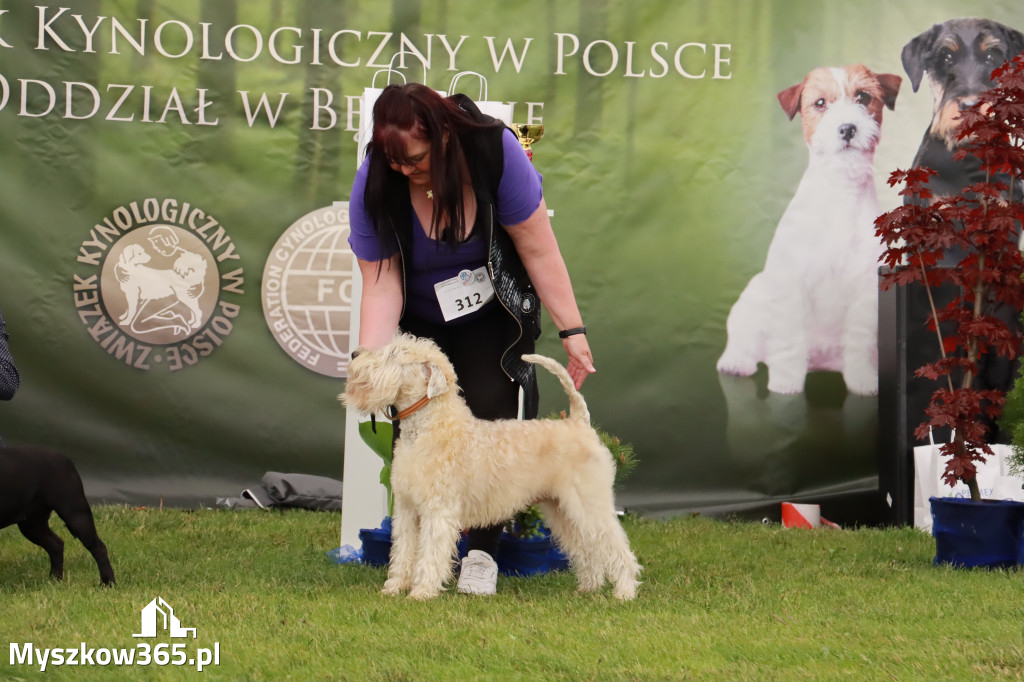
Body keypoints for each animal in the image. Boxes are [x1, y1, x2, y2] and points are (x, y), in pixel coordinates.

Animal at [0, 446, 116, 585]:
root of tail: (64, 458)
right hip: (32, 525)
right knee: (56, 545)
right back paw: (55, 579)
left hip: (76, 514)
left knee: (98, 548)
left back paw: (108, 582)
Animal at [344, 333, 638, 602]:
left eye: (395, 353)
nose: (355, 354)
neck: (429, 426)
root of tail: (579, 422)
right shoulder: (406, 509)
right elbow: (403, 551)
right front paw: (394, 587)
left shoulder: (437, 511)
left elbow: (429, 553)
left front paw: (422, 592)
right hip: (562, 509)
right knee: (587, 548)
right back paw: (589, 586)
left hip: (589, 503)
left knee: (616, 545)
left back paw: (624, 592)